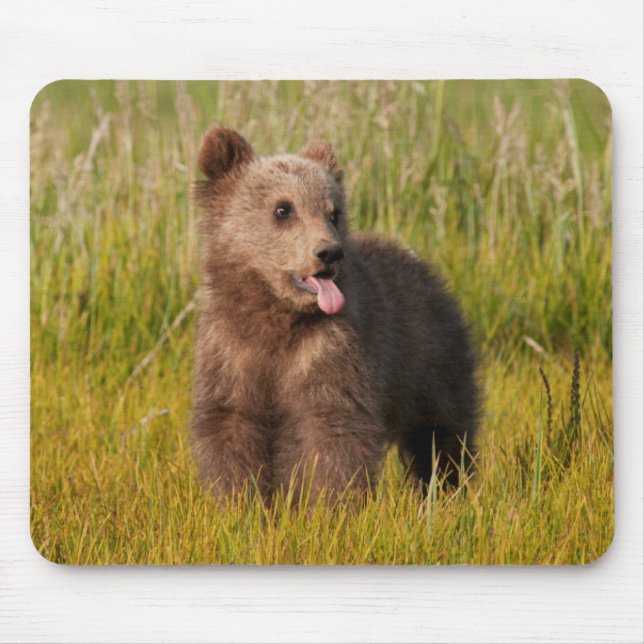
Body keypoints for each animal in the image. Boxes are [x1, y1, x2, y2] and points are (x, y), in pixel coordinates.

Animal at [191, 125, 479, 503]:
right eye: (283, 208)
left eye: (333, 212)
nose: (329, 252)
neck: (276, 315)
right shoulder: (231, 351)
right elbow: (230, 425)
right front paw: (237, 502)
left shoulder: (330, 349)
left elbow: (333, 430)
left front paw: (330, 505)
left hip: (430, 359)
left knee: (441, 432)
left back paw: (447, 488)